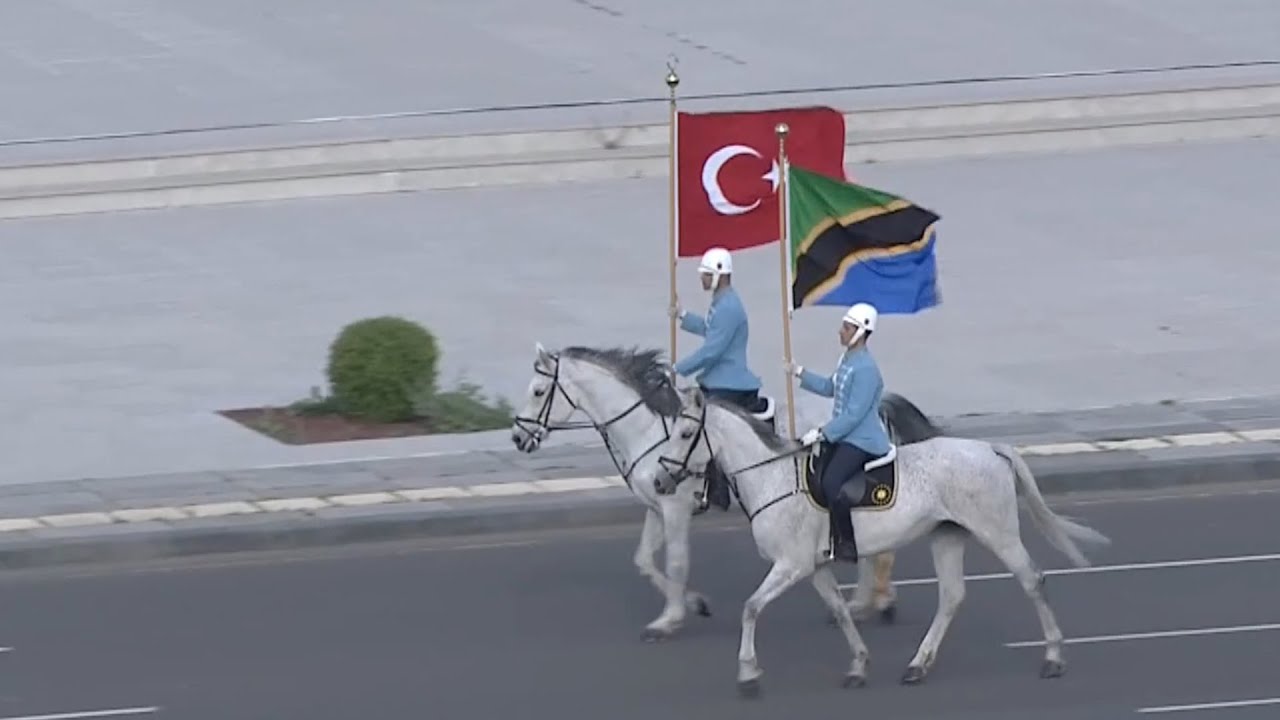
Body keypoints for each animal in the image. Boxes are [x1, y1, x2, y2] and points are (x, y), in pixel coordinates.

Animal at [506, 340, 942, 638]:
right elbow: (644, 560)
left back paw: (873, 601)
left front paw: (672, 618)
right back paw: (872, 602)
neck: (648, 431)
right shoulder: (655, 507)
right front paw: (693, 603)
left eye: (538, 392)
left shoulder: (675, 508)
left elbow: (676, 561)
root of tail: (875, 406)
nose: (517, 438)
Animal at [650, 384, 1111, 691]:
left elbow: (750, 608)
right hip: (947, 537)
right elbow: (840, 612)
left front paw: (748, 671)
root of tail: (991, 448)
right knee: (952, 597)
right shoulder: (813, 566)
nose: (658, 480)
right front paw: (858, 665)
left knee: (1032, 580)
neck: (773, 477)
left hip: (997, 533)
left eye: (686, 434)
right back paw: (918, 664)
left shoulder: (790, 565)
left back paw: (1053, 657)